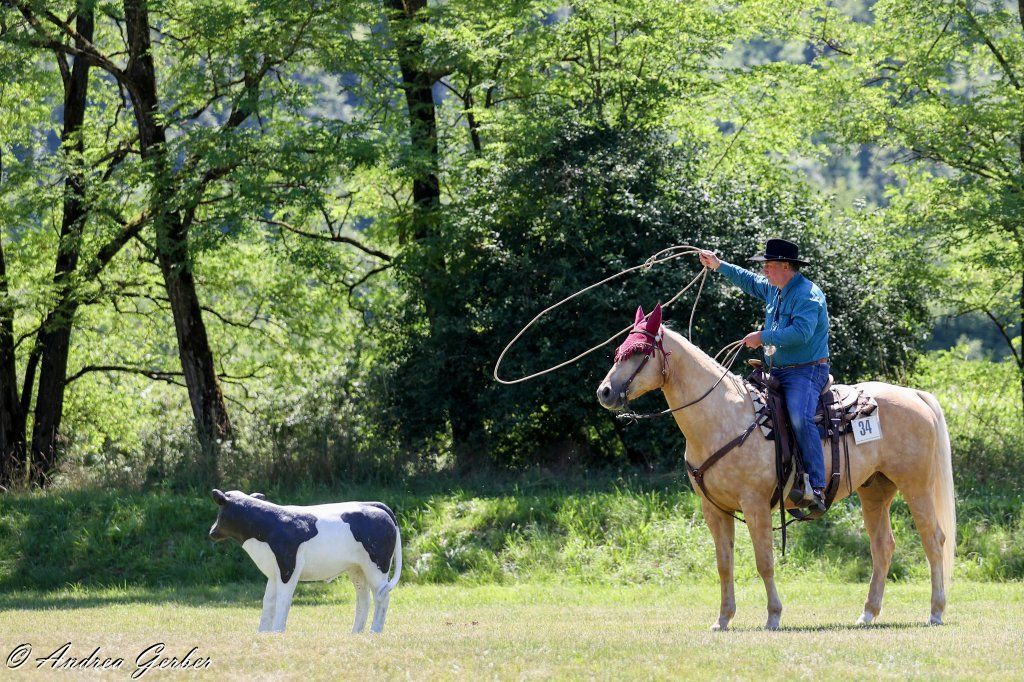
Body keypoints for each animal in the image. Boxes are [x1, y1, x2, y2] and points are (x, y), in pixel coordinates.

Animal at [596, 304, 955, 630]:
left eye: (640, 351)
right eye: (619, 349)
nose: (605, 391)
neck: (725, 416)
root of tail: (914, 395)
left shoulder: (754, 504)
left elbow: (764, 562)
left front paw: (773, 616)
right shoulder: (714, 509)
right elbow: (724, 564)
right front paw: (723, 619)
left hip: (916, 486)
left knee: (933, 539)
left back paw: (936, 611)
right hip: (876, 490)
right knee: (883, 546)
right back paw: (868, 613)